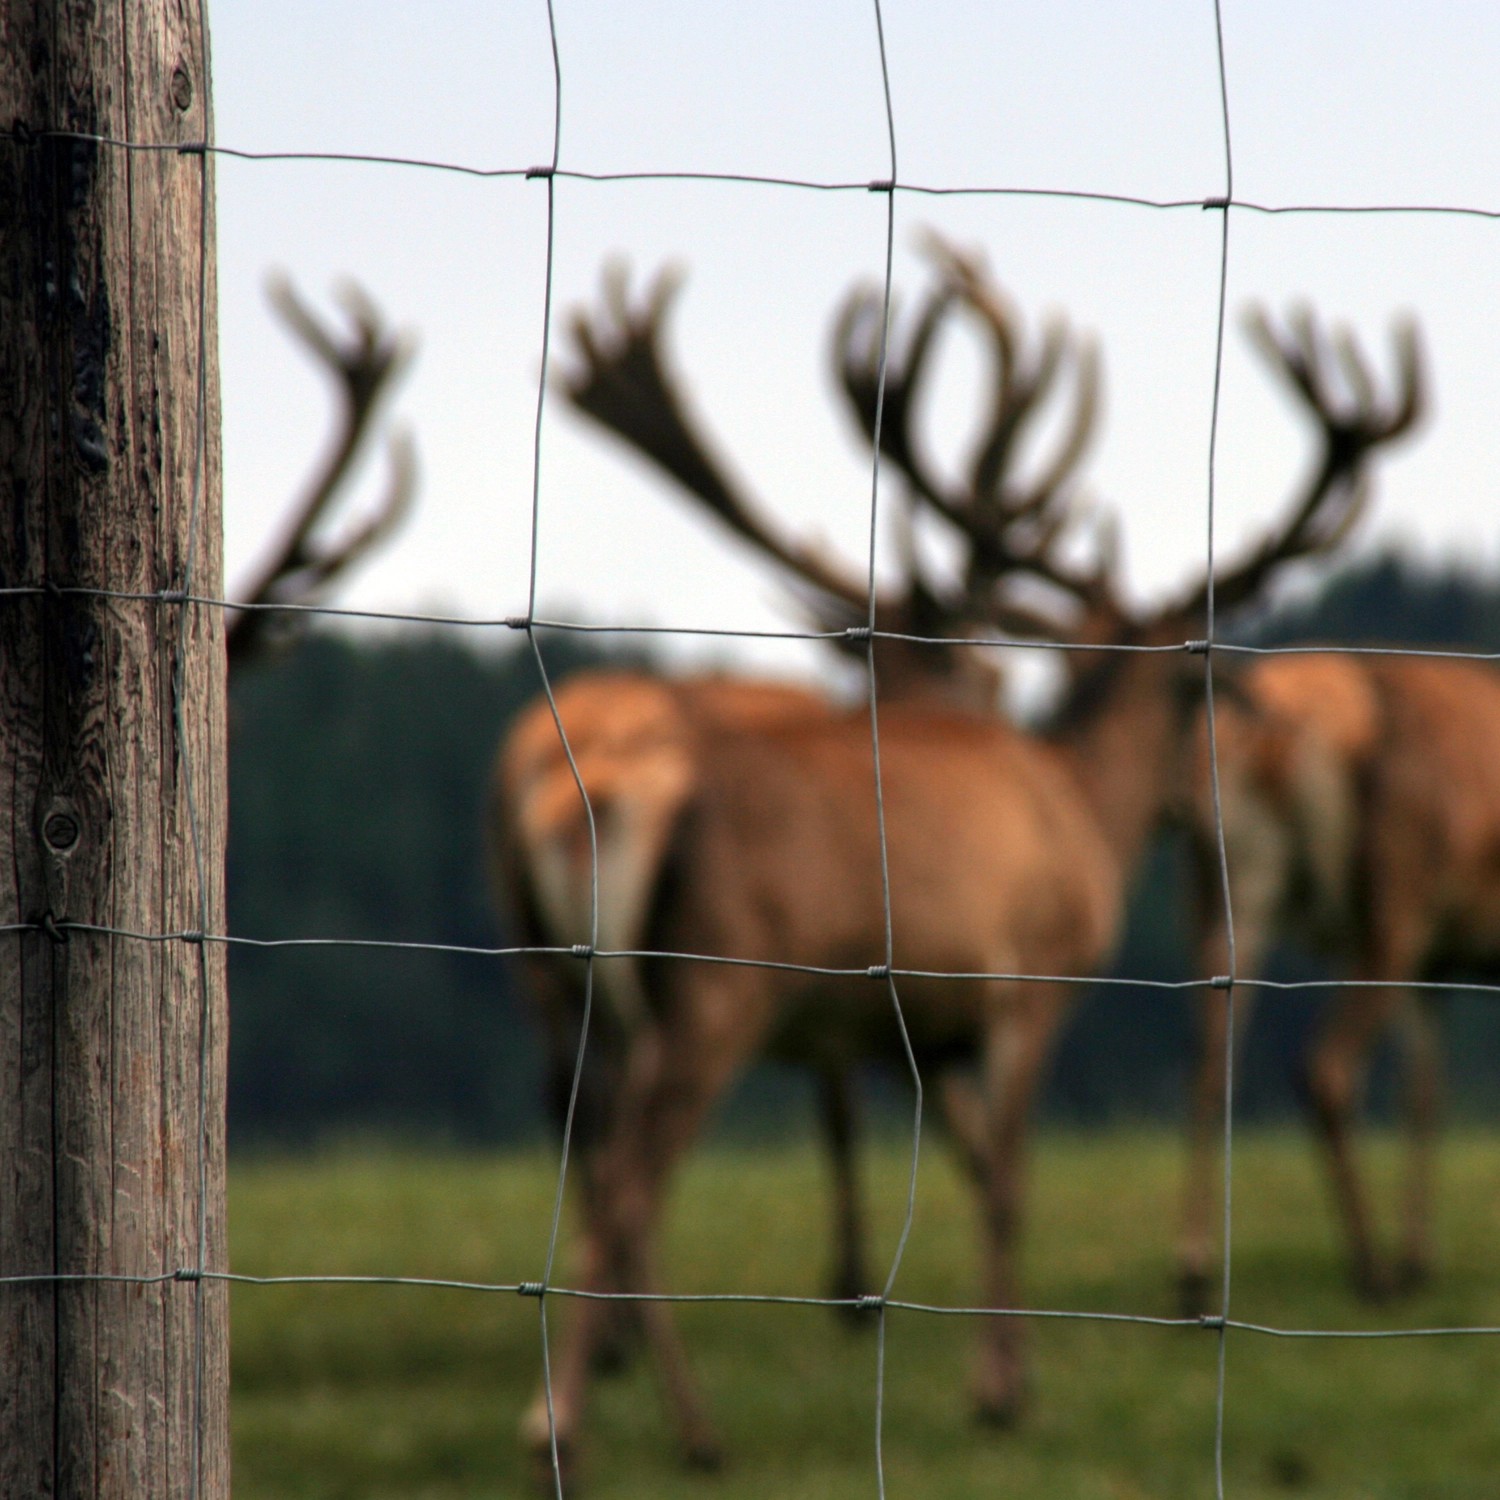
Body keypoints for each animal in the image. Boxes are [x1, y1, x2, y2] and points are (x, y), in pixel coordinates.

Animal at [495, 240, 1428, 1470]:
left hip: (599, 992)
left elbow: (976, 1166)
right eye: (1203, 690)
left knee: (595, 1160)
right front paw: (1000, 1391)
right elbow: (1014, 1178)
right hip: (717, 985)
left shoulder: (924, 1028)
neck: (1080, 808)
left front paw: (1005, 1367)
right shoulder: (1030, 976)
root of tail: (604, 794)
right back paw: (603, 1426)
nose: (1212, 793)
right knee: (632, 1183)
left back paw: (634, 1412)